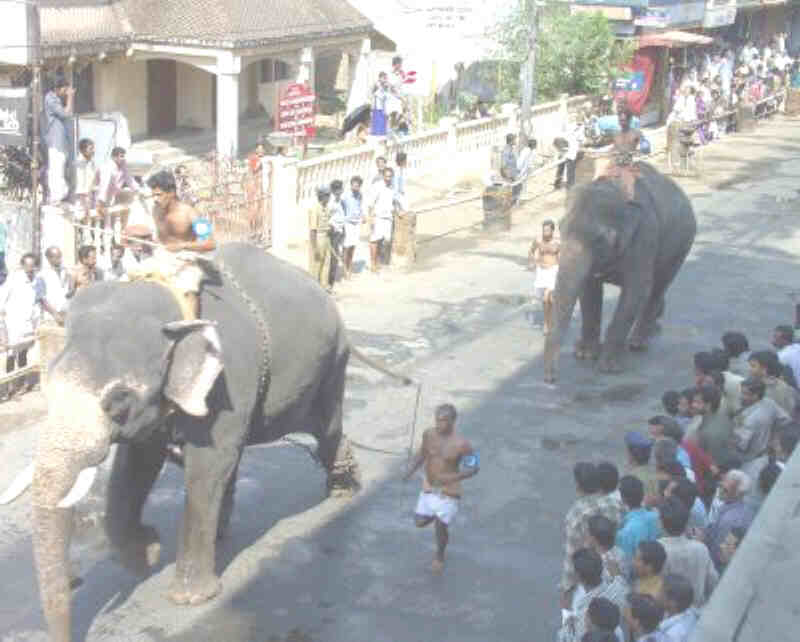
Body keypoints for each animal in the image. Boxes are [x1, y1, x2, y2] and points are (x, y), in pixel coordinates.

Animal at [0, 241, 410, 640]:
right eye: (48, 386)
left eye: (119, 400)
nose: (75, 586)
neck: (170, 297)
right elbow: (135, 466)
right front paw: (148, 553)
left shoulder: (229, 378)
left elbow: (207, 463)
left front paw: (188, 597)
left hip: (330, 365)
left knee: (326, 428)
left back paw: (343, 490)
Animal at [540, 162, 696, 380]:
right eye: (561, 229)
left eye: (599, 239)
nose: (550, 379)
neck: (615, 190)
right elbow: (588, 290)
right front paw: (585, 354)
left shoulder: (645, 237)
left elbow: (636, 290)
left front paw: (609, 367)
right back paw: (654, 324)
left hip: (681, 245)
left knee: (657, 287)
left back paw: (638, 342)